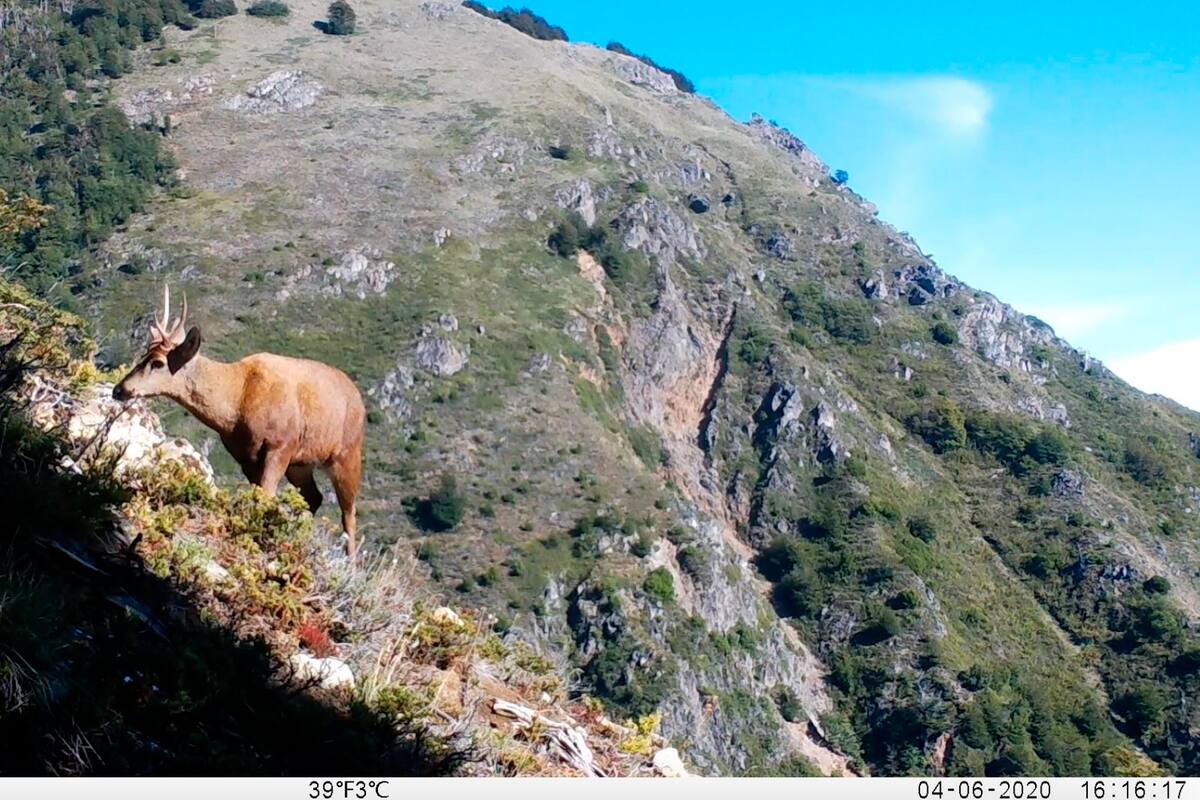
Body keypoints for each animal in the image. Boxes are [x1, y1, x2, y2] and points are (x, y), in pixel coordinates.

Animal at [113, 286, 366, 560]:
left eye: (158, 362)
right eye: (144, 354)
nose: (120, 389)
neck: (237, 401)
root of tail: (359, 399)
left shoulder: (279, 446)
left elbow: (266, 496)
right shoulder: (245, 456)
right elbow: (257, 497)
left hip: (347, 454)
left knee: (349, 514)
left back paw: (350, 563)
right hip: (301, 463)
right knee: (314, 497)